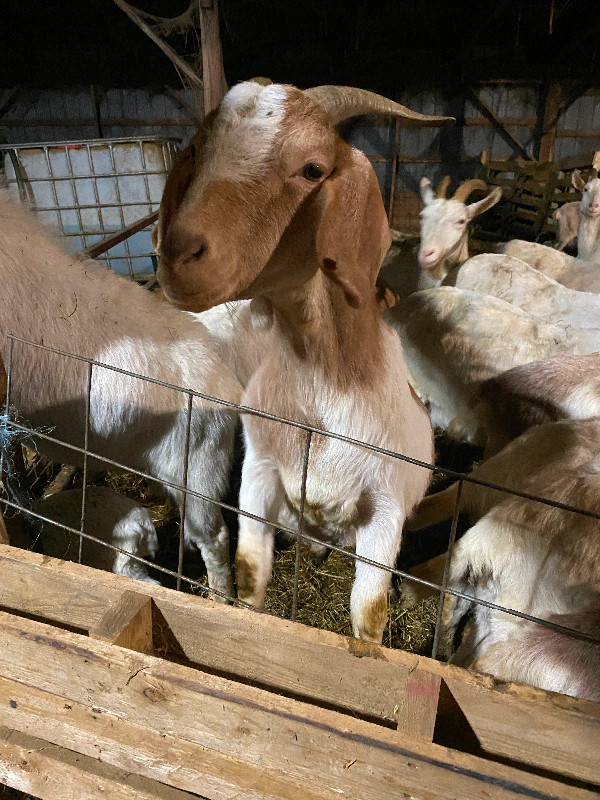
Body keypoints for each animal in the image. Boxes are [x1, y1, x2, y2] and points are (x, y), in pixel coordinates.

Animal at [155, 79, 454, 644]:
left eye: (313, 169)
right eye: (198, 151)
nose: (177, 254)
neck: (325, 386)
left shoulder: (386, 509)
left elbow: (369, 614)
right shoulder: (259, 473)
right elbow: (250, 574)